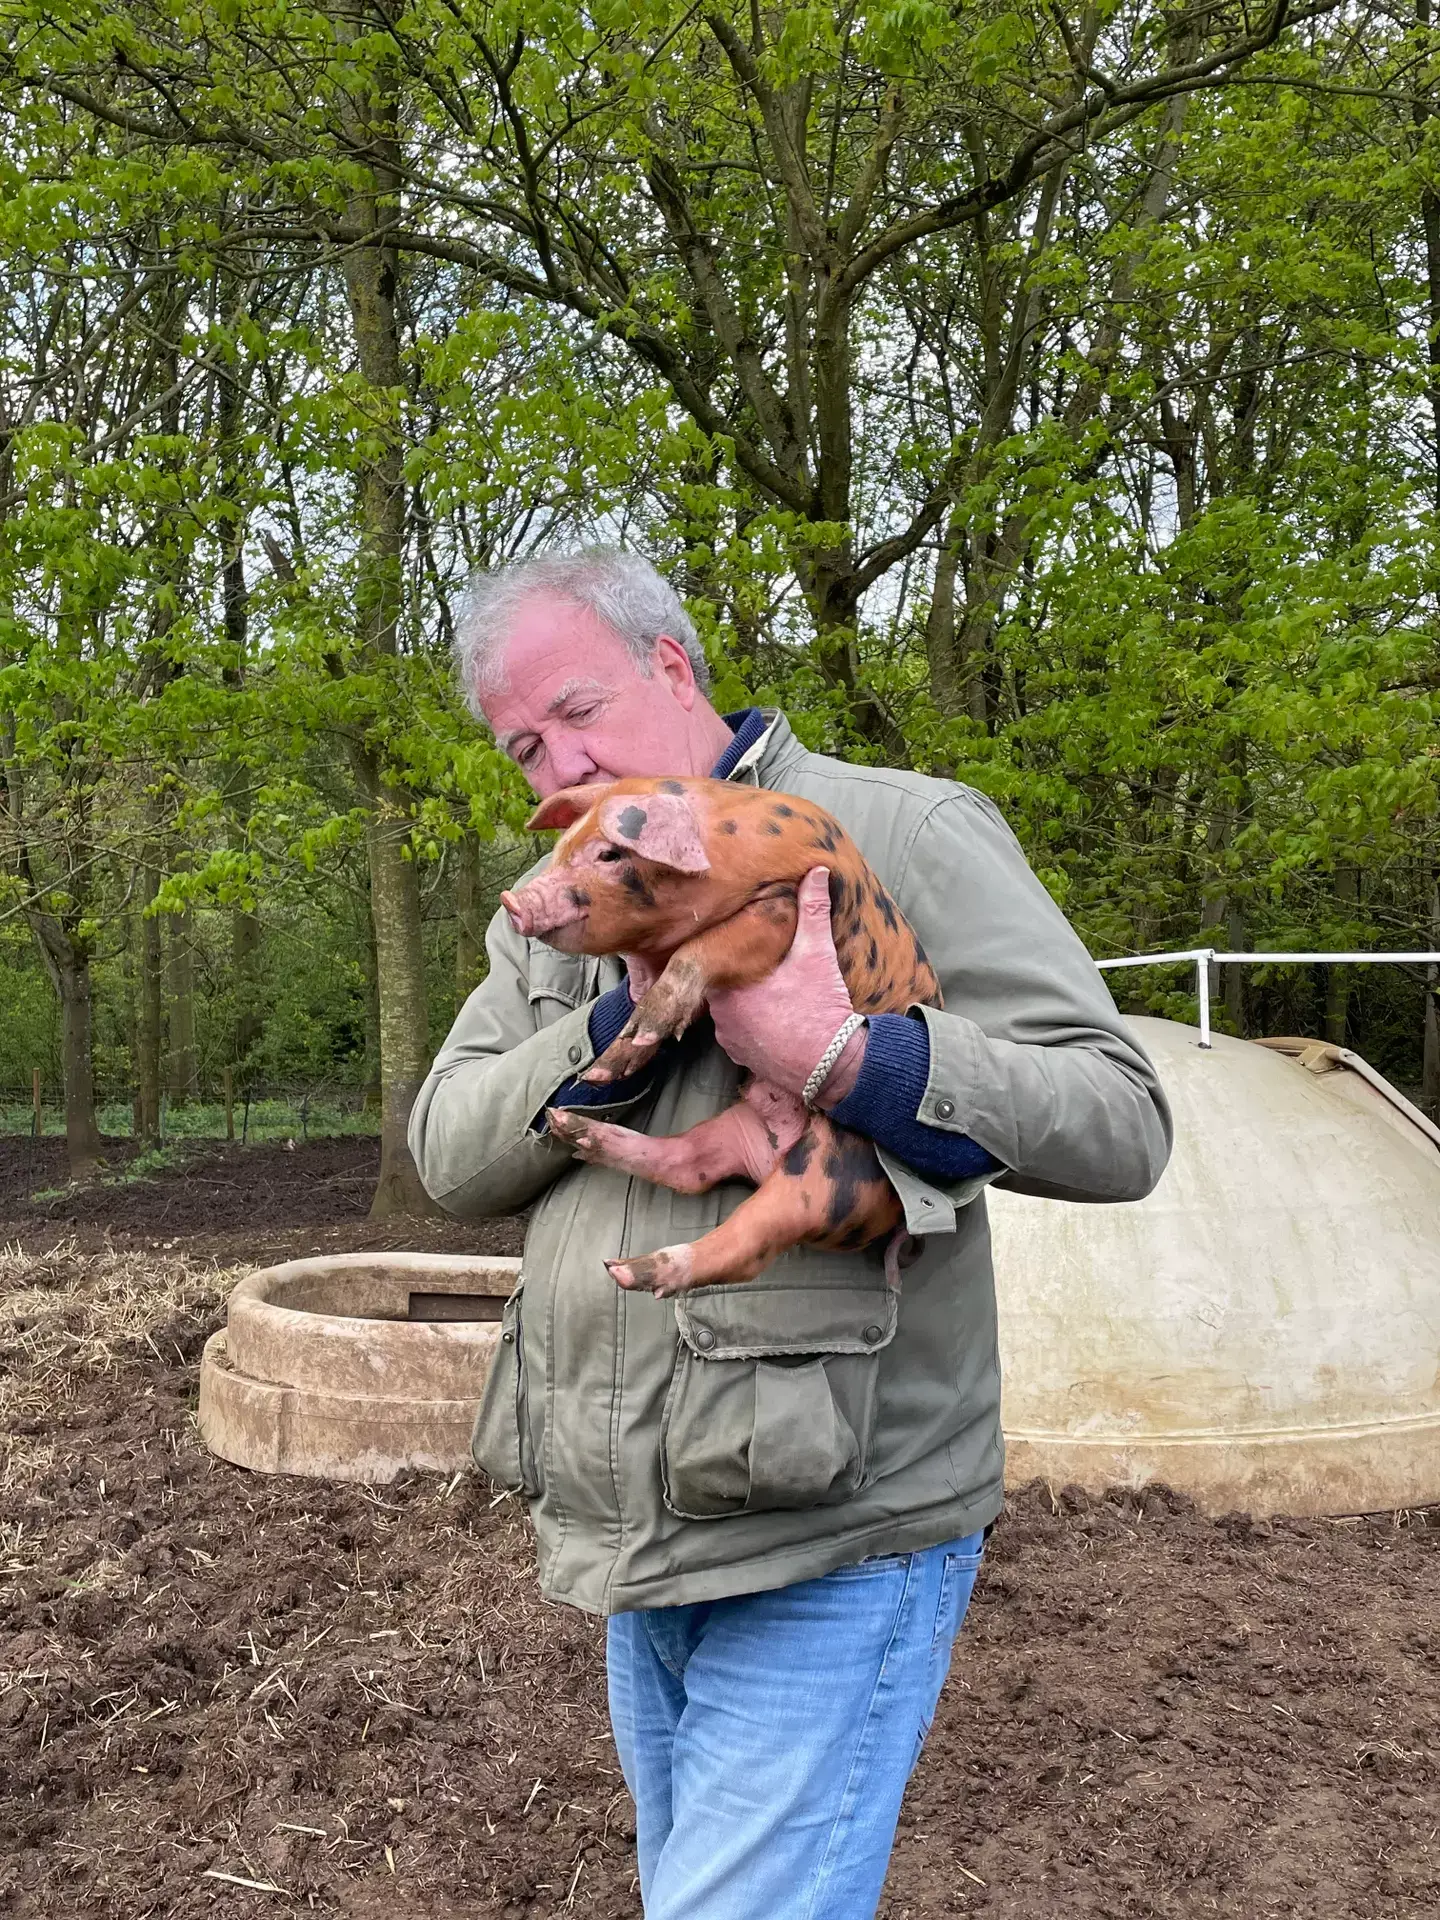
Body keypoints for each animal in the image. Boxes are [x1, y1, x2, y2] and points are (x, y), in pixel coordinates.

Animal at [500, 776, 942, 1297]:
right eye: (564, 846)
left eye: (609, 855)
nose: (512, 902)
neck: (725, 840)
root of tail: (774, 1154)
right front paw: (609, 1067)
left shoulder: (784, 906)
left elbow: (702, 949)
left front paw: (641, 1032)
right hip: (733, 1130)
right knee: (690, 1166)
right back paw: (571, 1128)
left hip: (842, 1176)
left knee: (755, 1240)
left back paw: (632, 1270)